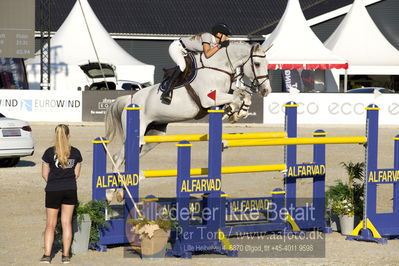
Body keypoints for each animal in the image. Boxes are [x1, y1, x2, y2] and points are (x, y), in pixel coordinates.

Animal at [104, 41, 274, 170]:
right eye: (257, 64)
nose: (266, 91)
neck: (218, 68)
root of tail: (130, 99)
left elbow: (243, 95)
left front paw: (237, 112)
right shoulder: (209, 99)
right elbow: (237, 98)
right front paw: (234, 113)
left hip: (154, 134)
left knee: (128, 156)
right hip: (137, 131)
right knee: (118, 157)